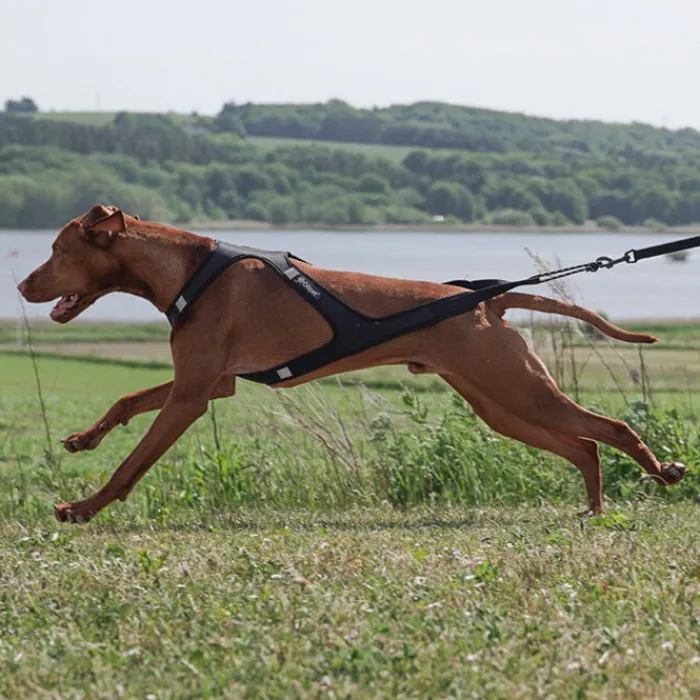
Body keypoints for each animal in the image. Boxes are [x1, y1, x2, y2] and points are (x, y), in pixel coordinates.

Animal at [17, 202, 688, 520]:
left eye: (58, 250)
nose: (21, 286)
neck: (188, 270)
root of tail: (488, 300)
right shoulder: (210, 385)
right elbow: (126, 397)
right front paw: (82, 438)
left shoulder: (191, 395)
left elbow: (131, 466)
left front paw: (82, 507)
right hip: (500, 404)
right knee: (584, 446)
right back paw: (595, 507)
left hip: (518, 391)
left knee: (612, 428)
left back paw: (660, 471)